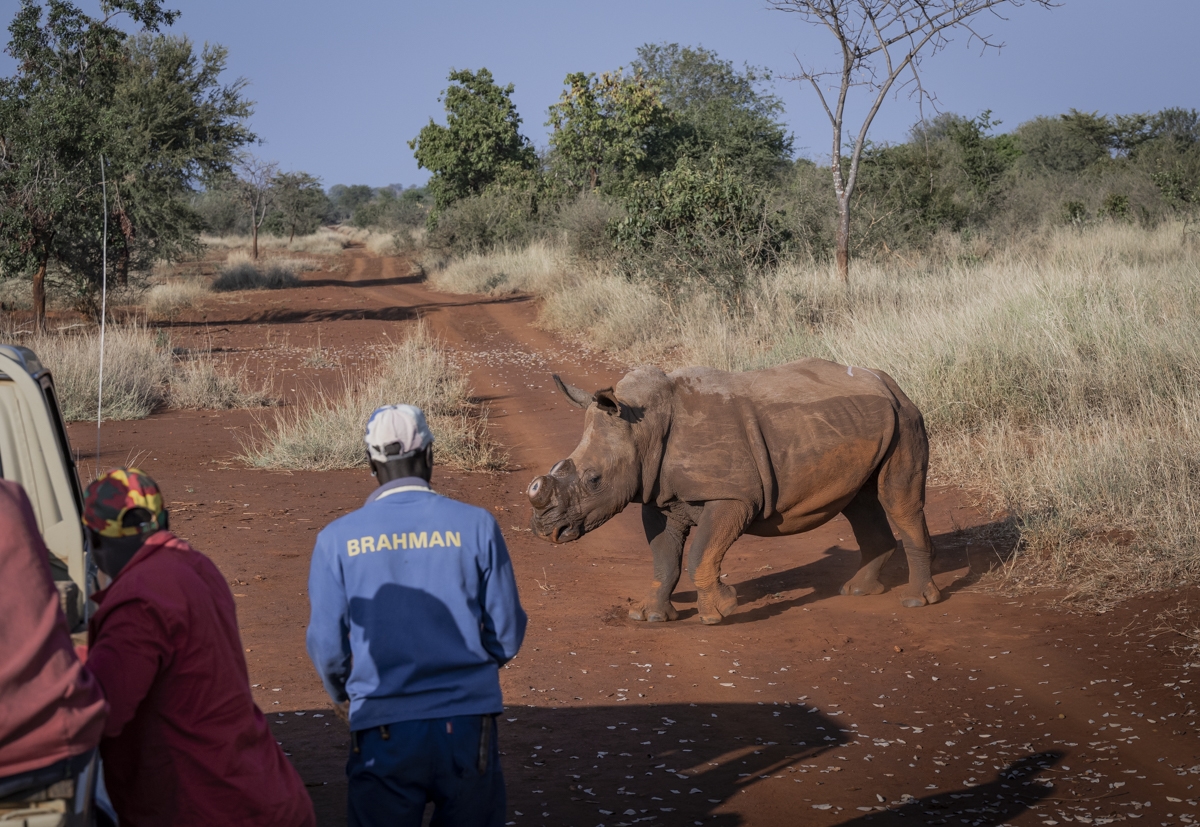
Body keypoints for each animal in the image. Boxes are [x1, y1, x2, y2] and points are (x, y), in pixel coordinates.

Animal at [527, 359, 941, 625]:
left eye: (594, 479)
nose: (546, 530)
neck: (643, 428)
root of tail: (891, 383)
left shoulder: (733, 497)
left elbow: (700, 554)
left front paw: (720, 612)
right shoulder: (657, 496)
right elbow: (664, 558)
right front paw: (649, 615)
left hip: (904, 418)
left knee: (899, 501)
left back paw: (915, 601)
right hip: (861, 423)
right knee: (860, 502)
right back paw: (857, 591)